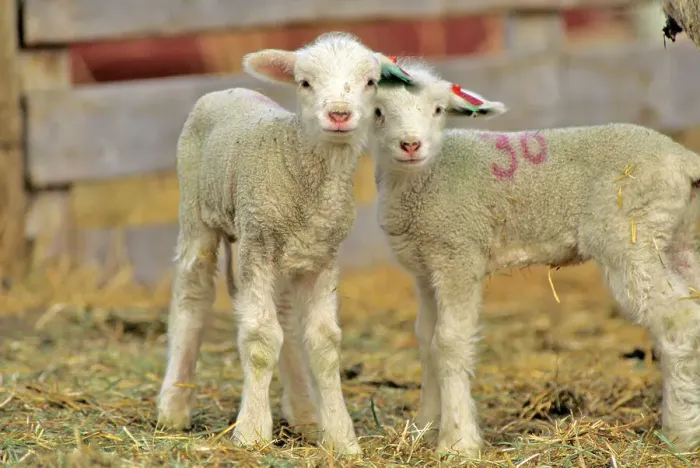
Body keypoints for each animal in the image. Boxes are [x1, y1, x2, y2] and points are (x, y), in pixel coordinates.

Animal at [156, 32, 412, 455]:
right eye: (304, 83)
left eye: (371, 82)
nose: (339, 114)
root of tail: (228, 89)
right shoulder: (257, 247)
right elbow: (260, 338)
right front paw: (252, 432)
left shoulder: (323, 256)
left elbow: (324, 343)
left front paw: (340, 436)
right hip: (199, 212)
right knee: (192, 296)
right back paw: (173, 406)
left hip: (279, 251)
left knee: (286, 318)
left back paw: (305, 412)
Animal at [369, 58, 700, 455]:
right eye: (377, 111)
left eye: (437, 110)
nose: (410, 144)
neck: (426, 176)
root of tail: (683, 160)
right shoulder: (425, 267)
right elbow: (425, 340)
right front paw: (423, 428)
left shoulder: (459, 254)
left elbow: (448, 342)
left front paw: (457, 442)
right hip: (677, 237)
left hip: (632, 236)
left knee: (678, 320)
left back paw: (680, 432)